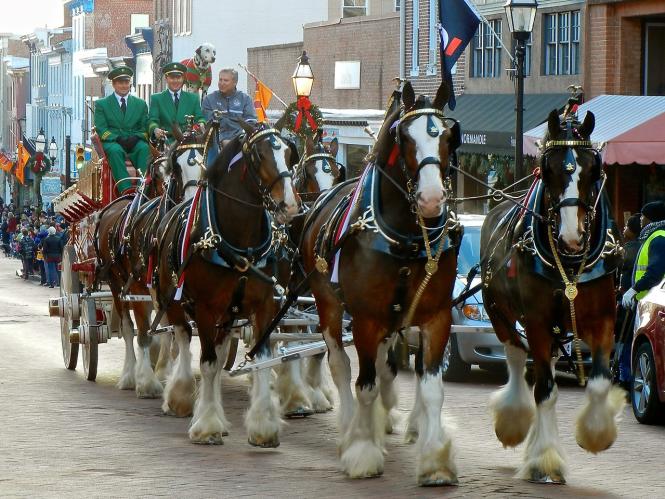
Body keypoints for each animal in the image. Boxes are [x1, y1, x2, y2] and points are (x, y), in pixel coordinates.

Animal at [300, 81, 462, 484]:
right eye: (404, 136)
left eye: (448, 136)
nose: (432, 199)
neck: (406, 237)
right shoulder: (366, 320)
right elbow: (364, 386)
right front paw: (362, 452)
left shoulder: (436, 317)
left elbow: (431, 388)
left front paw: (435, 461)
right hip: (328, 307)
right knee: (340, 365)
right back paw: (348, 428)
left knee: (386, 367)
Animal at [480, 110, 624, 484]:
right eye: (549, 169)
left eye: (593, 168)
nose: (572, 236)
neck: (570, 263)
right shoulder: (538, 322)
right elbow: (544, 389)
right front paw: (545, 461)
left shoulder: (603, 320)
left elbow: (599, 382)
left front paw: (596, 435)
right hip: (499, 312)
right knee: (517, 358)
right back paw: (514, 423)